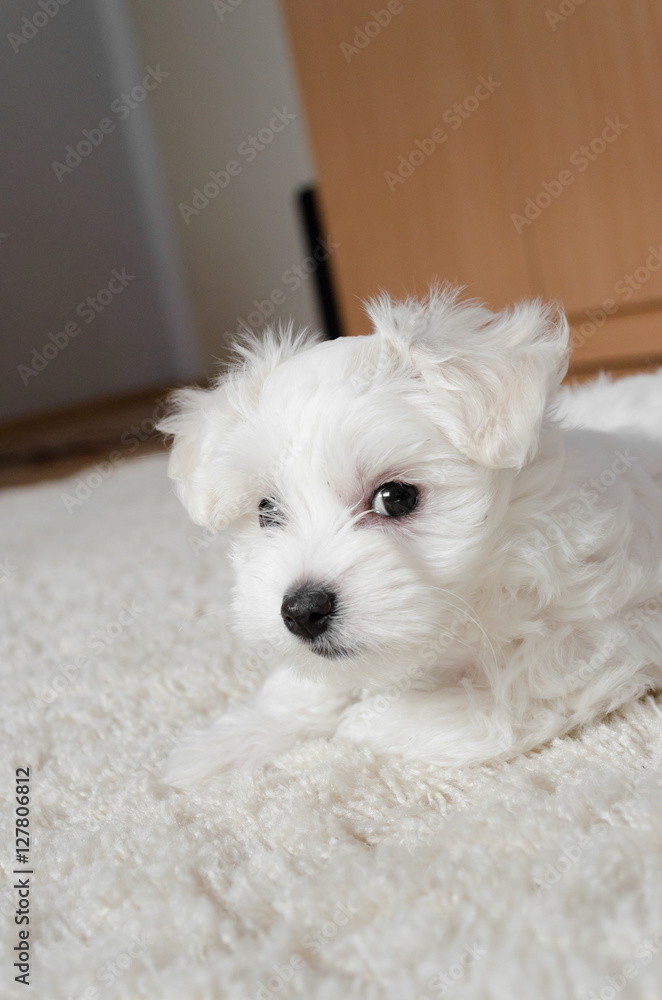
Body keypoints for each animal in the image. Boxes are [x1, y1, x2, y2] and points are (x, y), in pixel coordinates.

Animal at [160, 286, 662, 784]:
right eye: (267, 512)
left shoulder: (610, 631)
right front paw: (234, 740)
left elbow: (521, 683)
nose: (302, 611)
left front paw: (373, 720)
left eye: (395, 498)